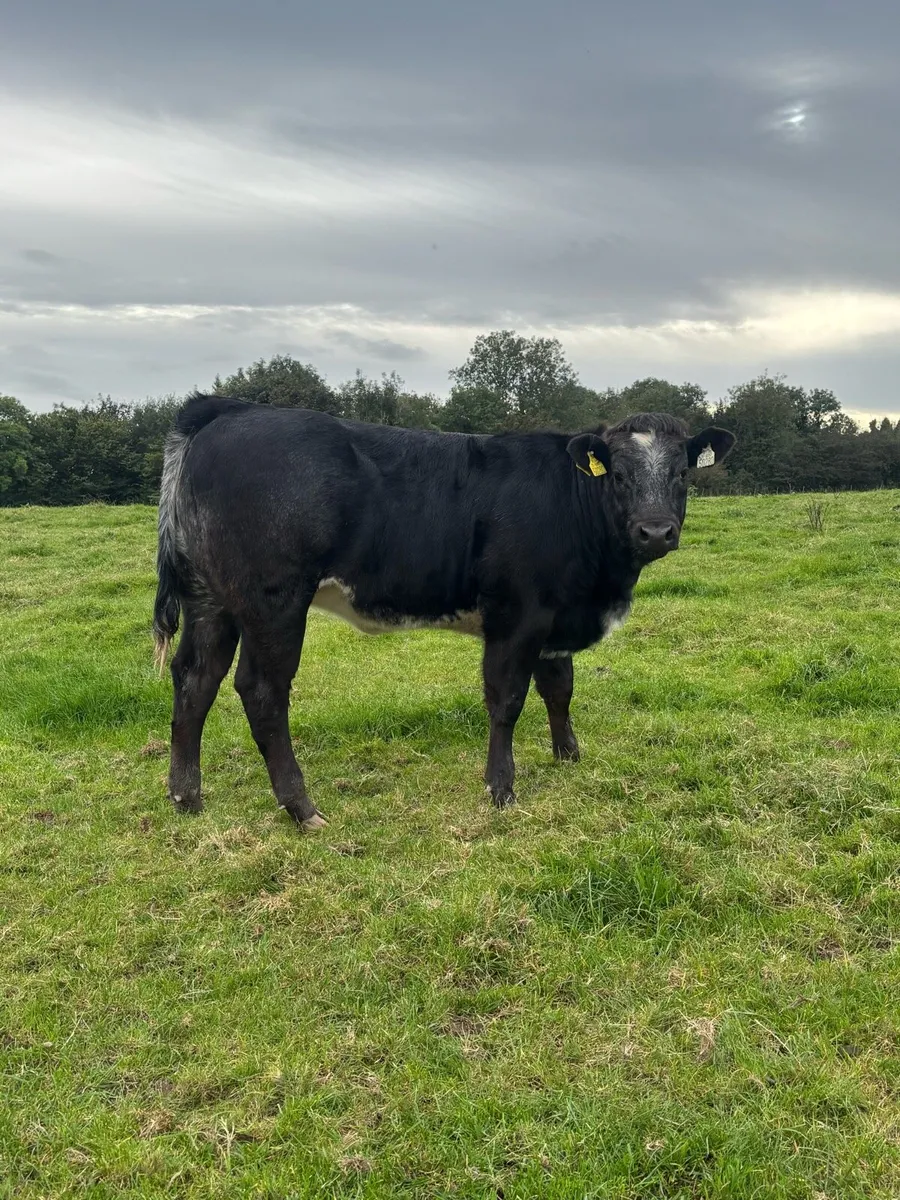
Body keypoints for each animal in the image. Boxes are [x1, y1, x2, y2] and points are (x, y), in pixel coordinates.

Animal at [153, 396, 734, 829]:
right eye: (617, 474)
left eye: (682, 473)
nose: (656, 531)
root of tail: (231, 409)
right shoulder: (518, 616)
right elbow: (507, 701)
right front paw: (501, 787)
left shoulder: (556, 616)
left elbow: (559, 689)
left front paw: (568, 755)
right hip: (274, 601)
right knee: (262, 692)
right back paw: (301, 808)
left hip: (211, 599)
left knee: (195, 679)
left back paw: (186, 797)